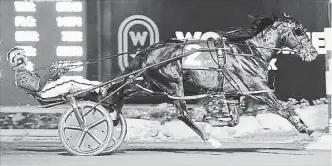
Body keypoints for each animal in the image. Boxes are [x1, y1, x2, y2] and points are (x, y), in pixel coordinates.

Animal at [109, 13, 320, 146]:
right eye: (299, 31)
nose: (314, 53)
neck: (250, 52)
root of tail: (148, 50)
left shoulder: (233, 93)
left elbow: (234, 121)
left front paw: (210, 118)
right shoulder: (259, 89)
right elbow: (283, 109)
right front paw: (306, 129)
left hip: (150, 83)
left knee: (123, 91)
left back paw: (113, 114)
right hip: (173, 85)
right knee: (183, 114)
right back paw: (210, 140)